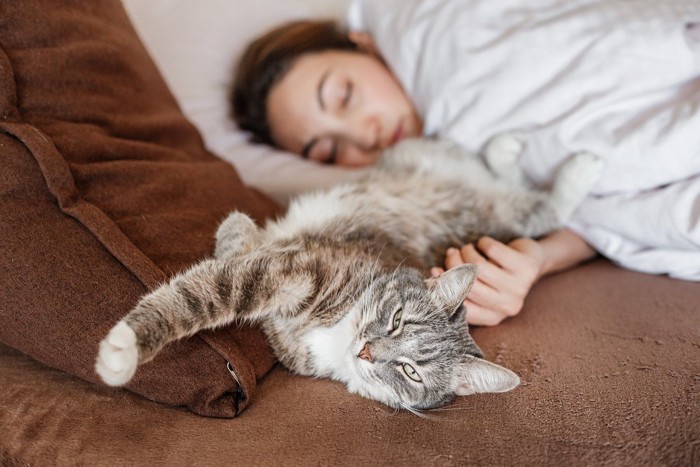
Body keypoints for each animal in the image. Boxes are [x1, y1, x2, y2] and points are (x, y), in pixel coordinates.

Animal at [95, 133, 604, 412]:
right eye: (396, 319)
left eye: (411, 371)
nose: (367, 352)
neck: (338, 334)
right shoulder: (287, 266)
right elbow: (216, 273)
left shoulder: (283, 271)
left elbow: (209, 286)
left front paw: (121, 349)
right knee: (508, 179)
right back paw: (510, 150)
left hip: (510, 218)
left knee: (545, 207)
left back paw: (578, 171)